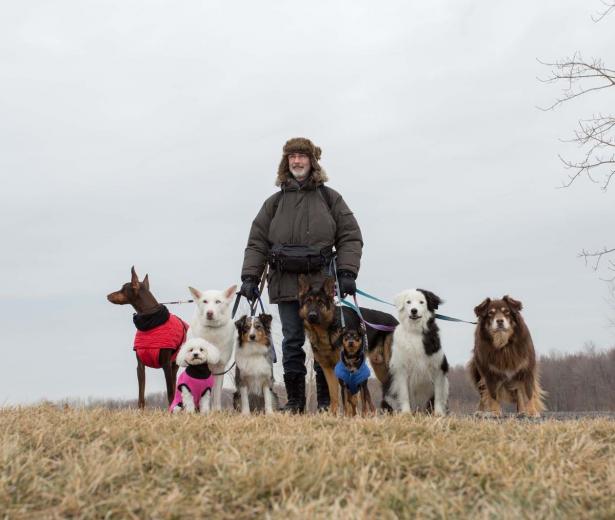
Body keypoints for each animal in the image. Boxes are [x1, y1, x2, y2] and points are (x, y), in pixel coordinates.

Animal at [107, 268, 188, 410]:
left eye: (122, 289)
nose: (107, 295)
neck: (150, 321)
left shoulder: (166, 364)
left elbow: (170, 393)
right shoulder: (140, 365)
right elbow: (141, 395)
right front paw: (140, 411)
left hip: (174, 365)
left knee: (174, 386)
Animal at [298, 274, 400, 412]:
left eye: (320, 302)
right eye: (308, 302)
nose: (312, 316)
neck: (326, 332)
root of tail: (397, 321)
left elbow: (351, 399)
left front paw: (351, 415)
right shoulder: (328, 369)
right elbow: (334, 397)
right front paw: (333, 414)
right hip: (380, 368)